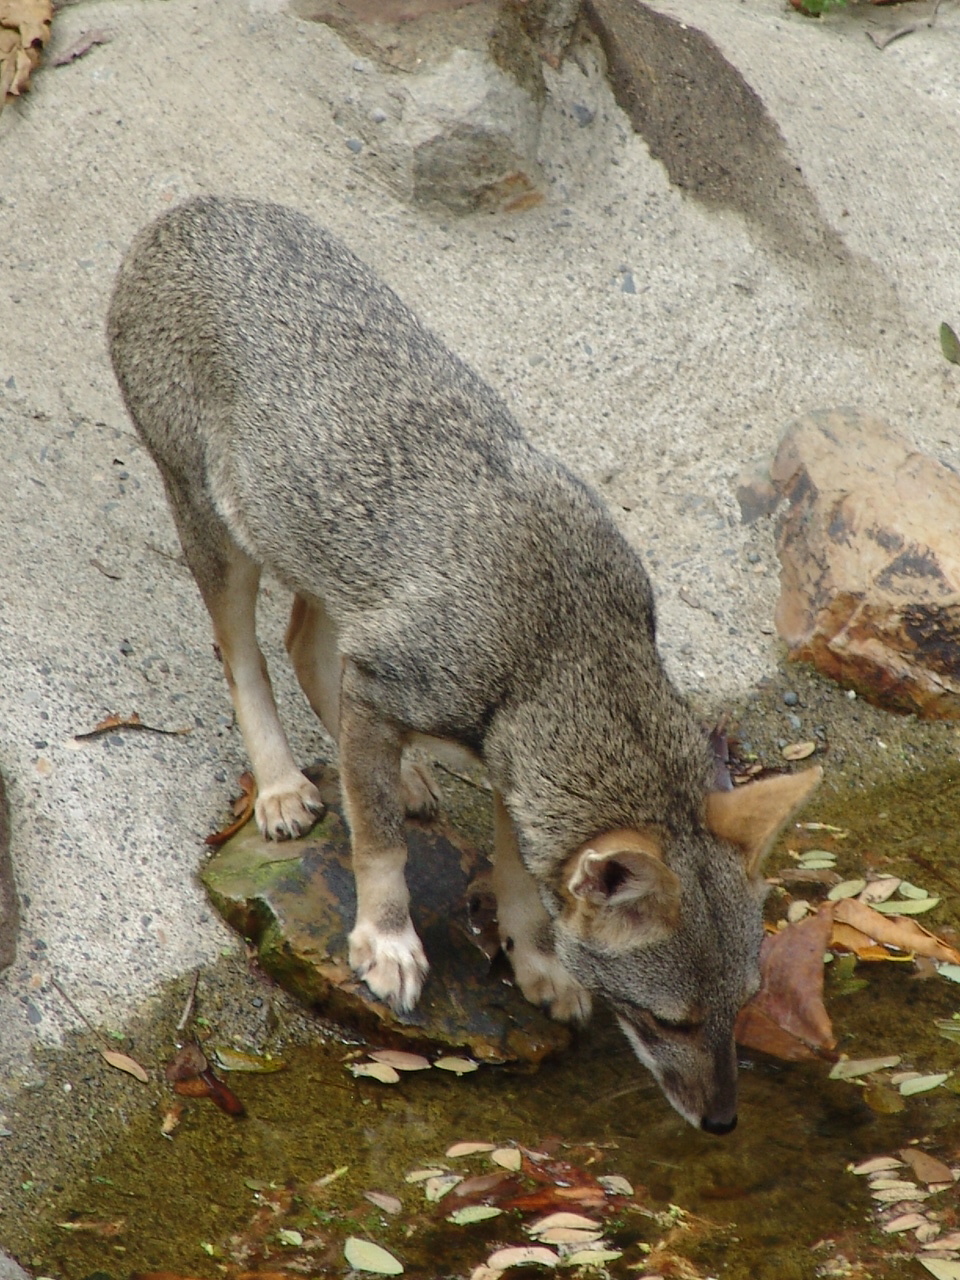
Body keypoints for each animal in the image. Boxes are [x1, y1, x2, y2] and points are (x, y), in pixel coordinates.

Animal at [107, 196, 820, 1133]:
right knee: (244, 653)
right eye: (670, 1020)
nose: (723, 1123)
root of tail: (186, 210)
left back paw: (398, 775)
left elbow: (519, 870)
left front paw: (537, 961)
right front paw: (387, 942)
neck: (562, 647)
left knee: (305, 643)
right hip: (221, 533)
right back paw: (284, 787)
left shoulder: (501, 750)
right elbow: (377, 843)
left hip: (327, 562)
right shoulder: (396, 687)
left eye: (744, 1006)